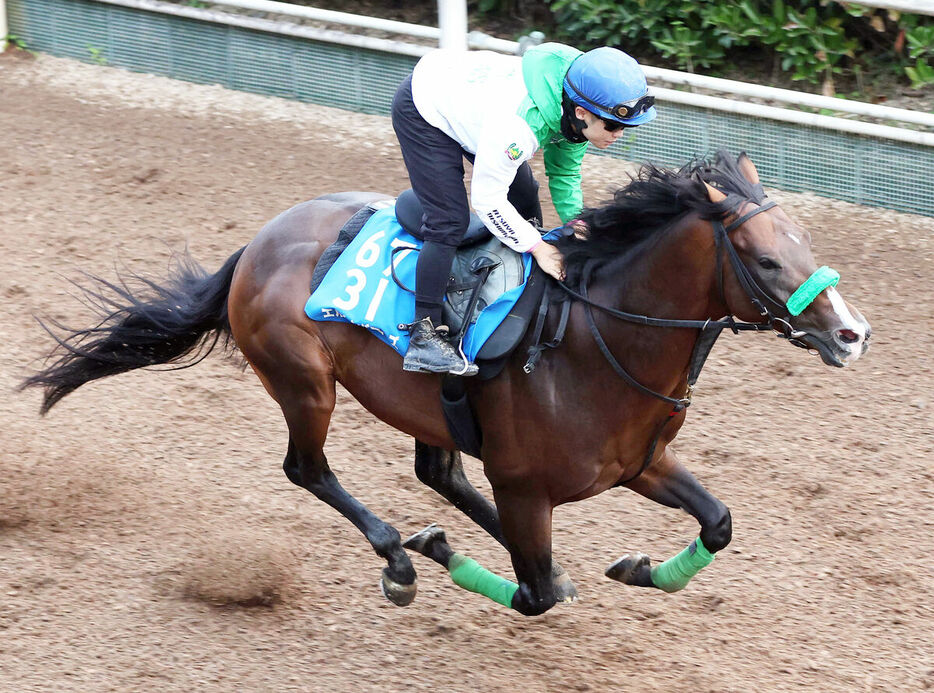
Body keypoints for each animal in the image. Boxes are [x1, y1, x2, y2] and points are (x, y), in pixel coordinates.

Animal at [20, 151, 872, 616]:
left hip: (424, 408)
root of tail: (259, 241)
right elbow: (530, 593)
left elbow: (718, 521)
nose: (851, 332)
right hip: (306, 383)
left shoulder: (640, 462)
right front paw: (434, 554)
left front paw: (636, 567)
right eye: (765, 259)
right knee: (308, 468)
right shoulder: (526, 486)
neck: (595, 342)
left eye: (805, 239)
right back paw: (400, 557)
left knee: (440, 471)